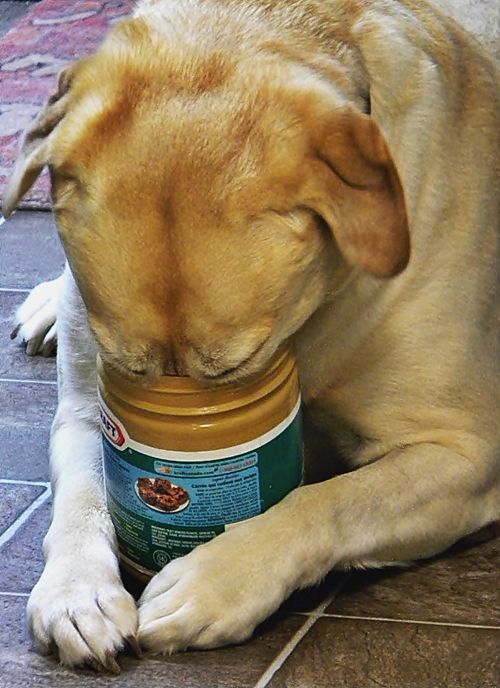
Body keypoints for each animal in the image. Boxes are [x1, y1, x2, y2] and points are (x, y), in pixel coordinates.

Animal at [1, 0, 498, 672]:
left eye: (237, 368)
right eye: (128, 371)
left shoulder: (466, 455)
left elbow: (332, 501)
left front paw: (212, 581)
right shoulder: (86, 409)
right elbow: (81, 494)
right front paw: (77, 595)